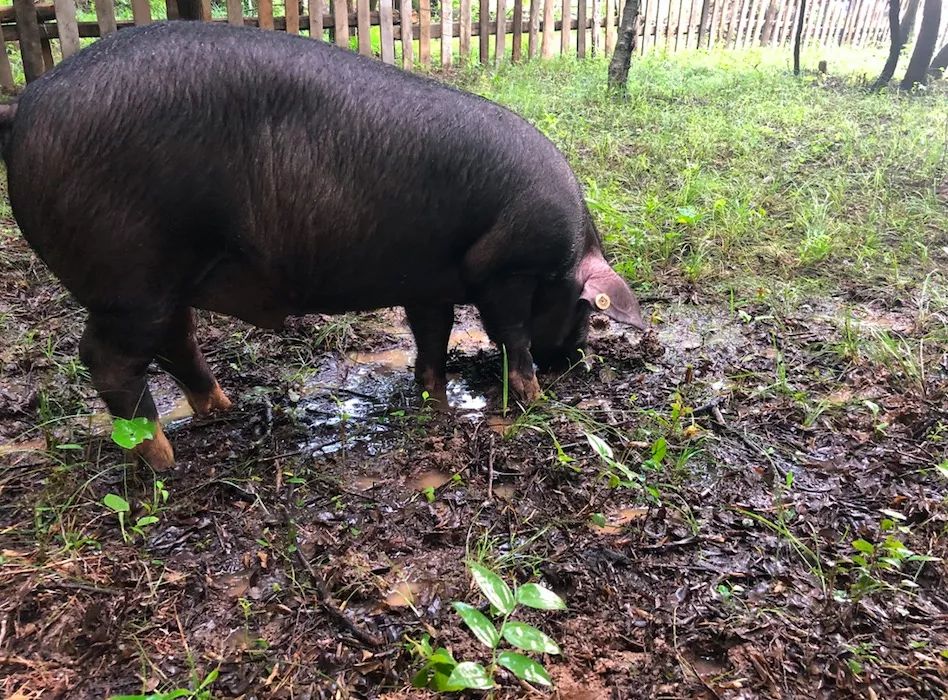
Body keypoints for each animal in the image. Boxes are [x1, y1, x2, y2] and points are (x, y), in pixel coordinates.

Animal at [1, 21, 644, 470]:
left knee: (174, 339)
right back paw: (164, 461)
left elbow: (431, 338)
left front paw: (434, 399)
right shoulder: (507, 270)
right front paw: (533, 399)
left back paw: (223, 409)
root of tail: (28, 104)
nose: (576, 358)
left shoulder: (428, 282)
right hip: (128, 272)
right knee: (107, 358)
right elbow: (510, 335)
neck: (567, 255)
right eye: (589, 313)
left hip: (162, 278)